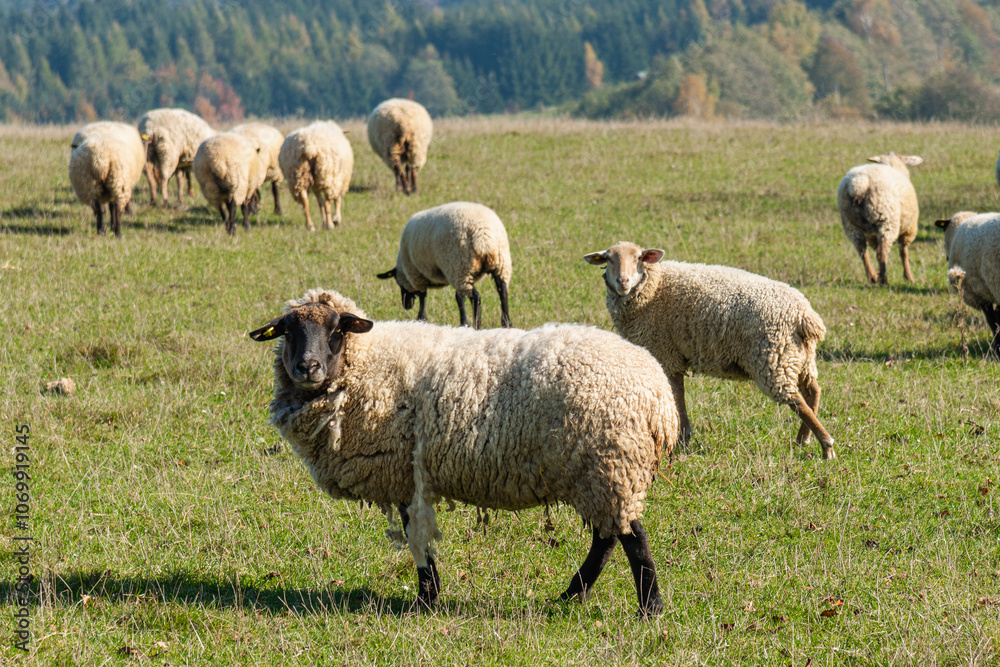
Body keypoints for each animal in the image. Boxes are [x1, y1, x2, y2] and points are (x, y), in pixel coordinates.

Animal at [249, 288, 678, 616]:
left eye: (337, 329)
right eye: (287, 331)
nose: (308, 367)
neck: (368, 363)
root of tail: (659, 396)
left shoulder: (405, 475)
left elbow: (417, 536)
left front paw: (426, 599)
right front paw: (430, 595)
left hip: (610, 465)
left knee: (629, 537)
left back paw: (648, 607)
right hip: (599, 472)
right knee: (608, 536)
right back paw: (573, 594)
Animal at [376, 202, 512, 329]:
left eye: (398, 283)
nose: (406, 305)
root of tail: (484, 237)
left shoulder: (418, 275)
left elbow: (423, 297)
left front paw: (422, 319)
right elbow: (457, 297)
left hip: (459, 266)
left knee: (475, 297)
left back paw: (476, 325)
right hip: (500, 265)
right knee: (502, 292)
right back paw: (507, 323)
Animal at [584, 242, 835, 460]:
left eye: (639, 258)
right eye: (609, 259)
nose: (623, 281)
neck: (654, 287)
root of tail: (806, 317)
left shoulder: (666, 353)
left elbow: (677, 395)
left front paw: (682, 438)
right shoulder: (671, 355)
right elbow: (679, 394)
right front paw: (684, 437)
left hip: (773, 359)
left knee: (797, 401)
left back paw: (826, 446)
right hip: (799, 358)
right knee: (813, 391)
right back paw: (803, 439)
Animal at [837, 152, 923, 285]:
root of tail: (859, 184)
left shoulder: (872, 236)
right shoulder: (909, 229)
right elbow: (904, 253)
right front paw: (909, 277)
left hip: (850, 224)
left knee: (862, 251)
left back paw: (872, 276)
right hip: (887, 220)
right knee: (881, 253)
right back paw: (883, 280)